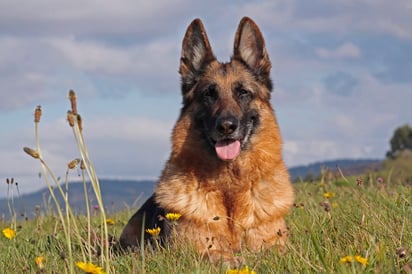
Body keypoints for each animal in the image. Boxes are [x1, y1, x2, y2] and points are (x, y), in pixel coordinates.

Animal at [120, 16, 294, 264]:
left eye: (243, 93)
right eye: (208, 94)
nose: (227, 127)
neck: (230, 186)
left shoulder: (278, 247)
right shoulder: (191, 251)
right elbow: (222, 256)